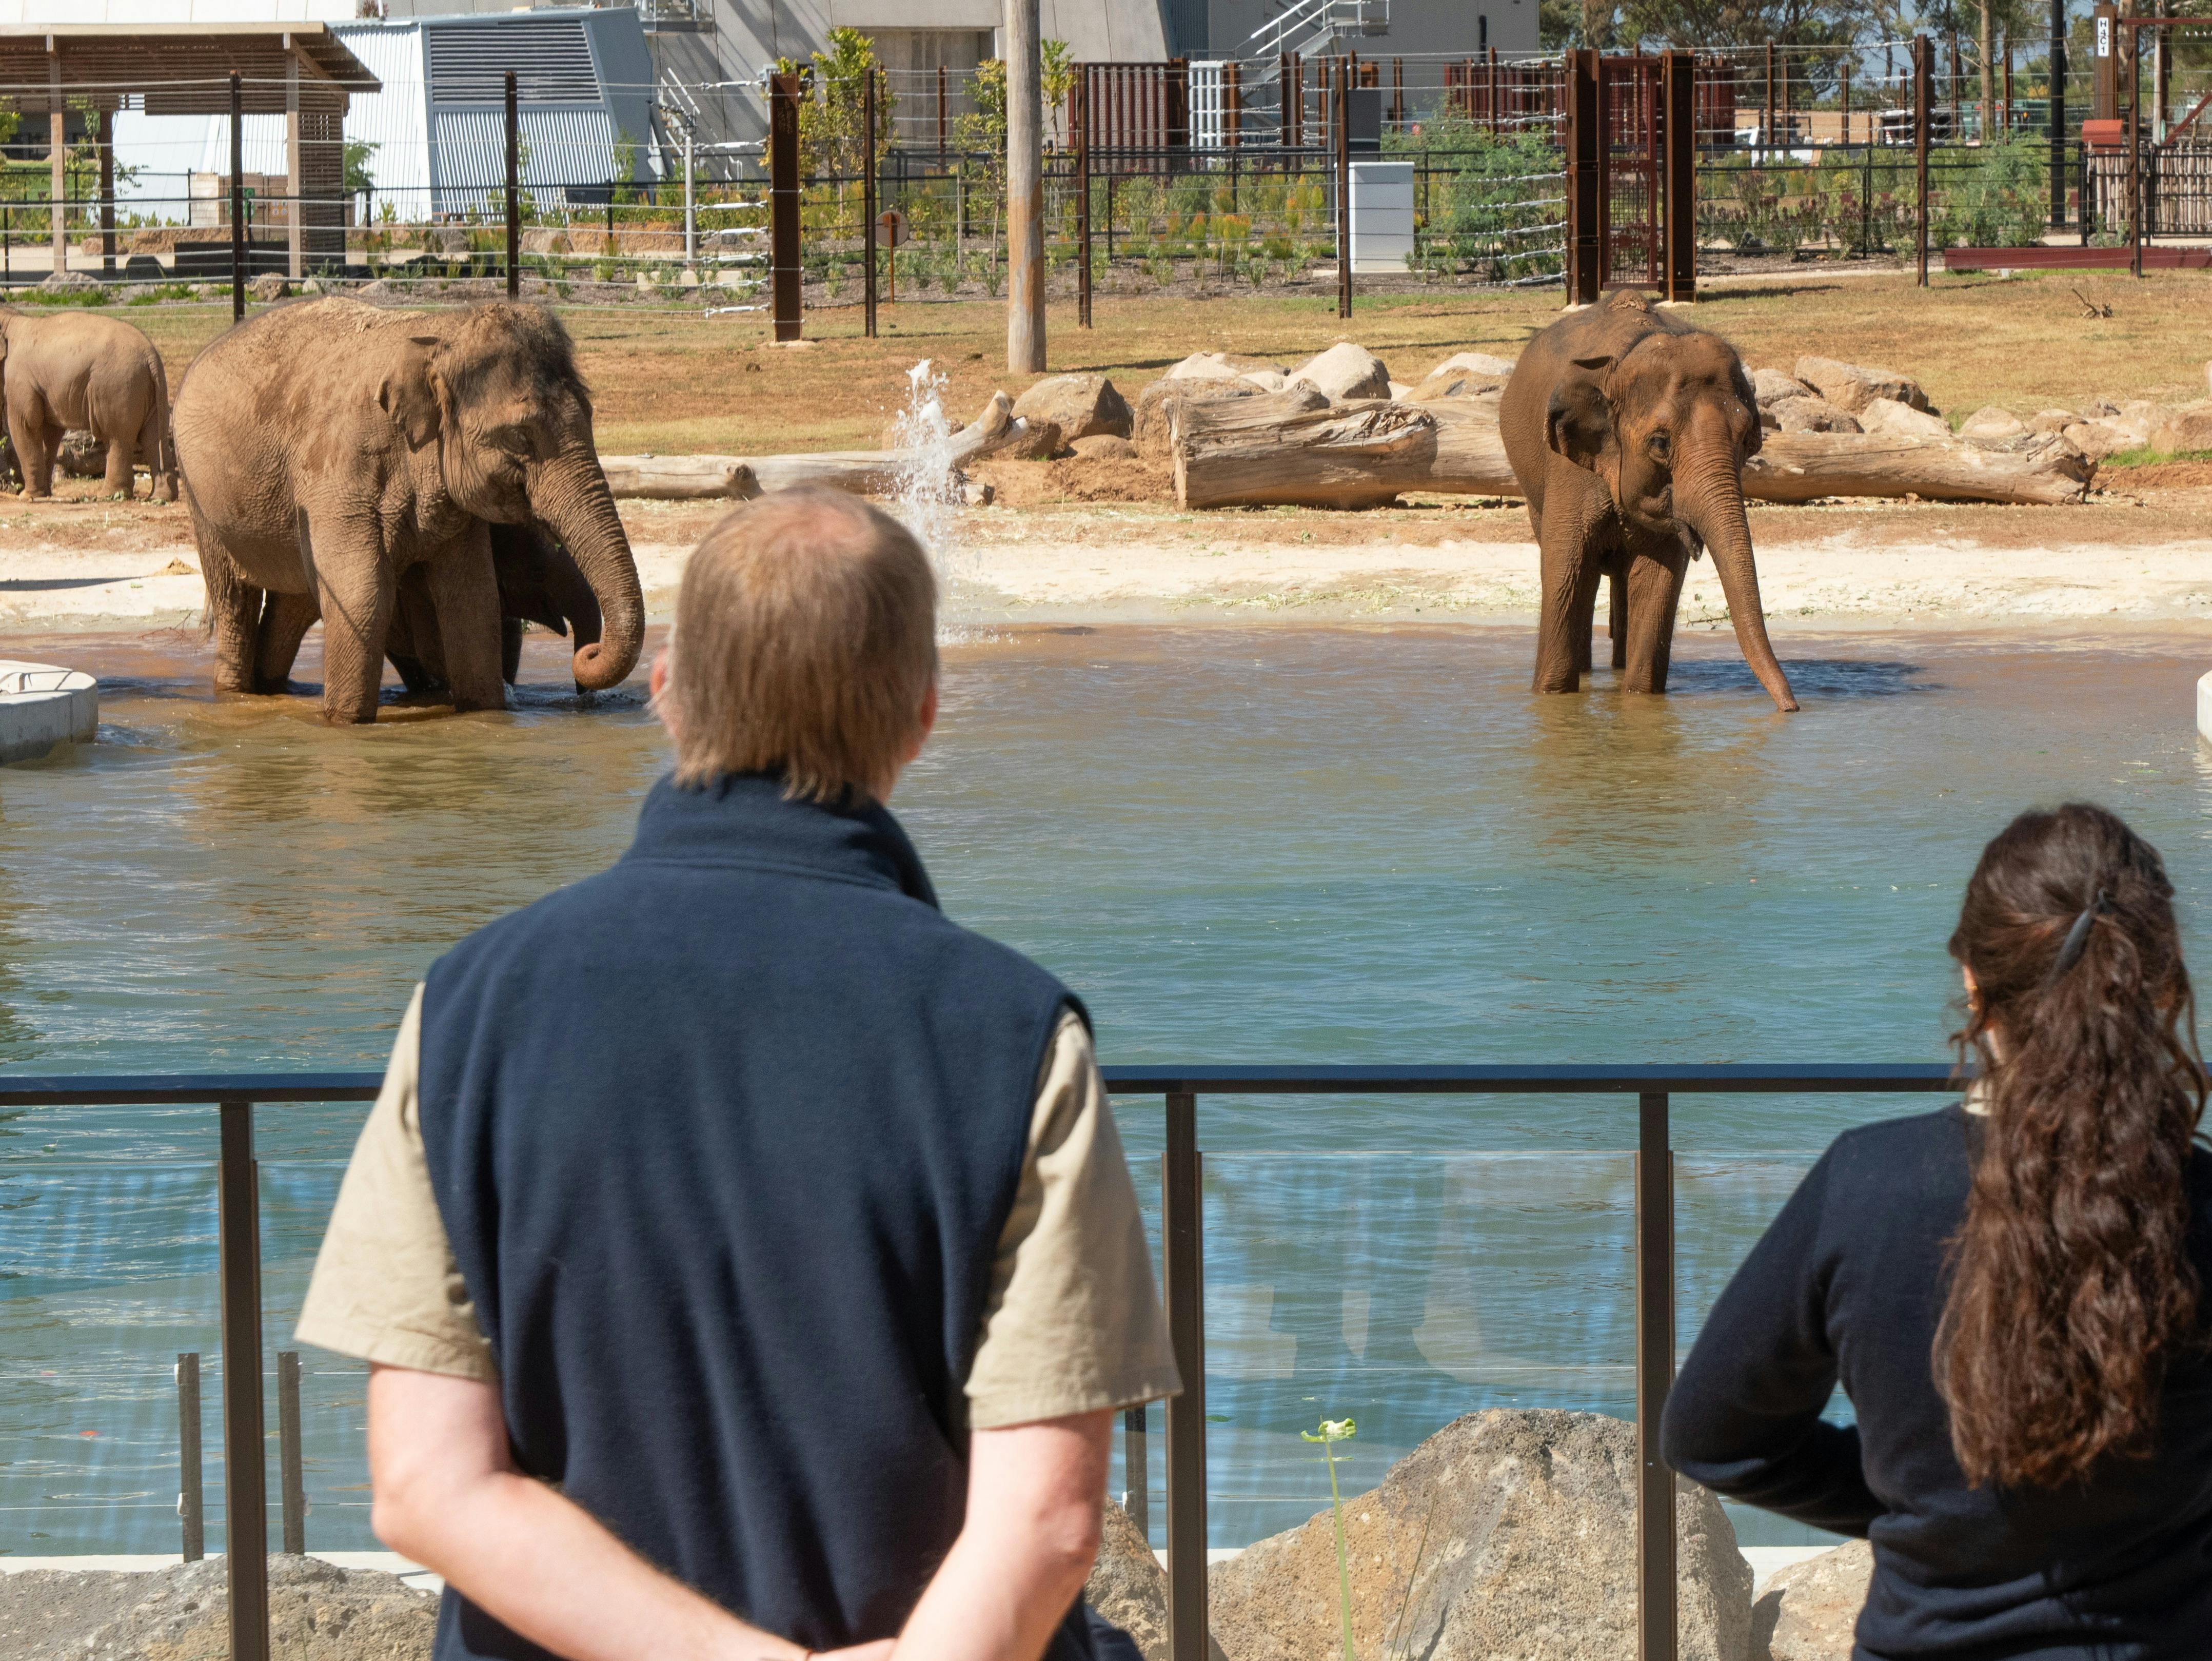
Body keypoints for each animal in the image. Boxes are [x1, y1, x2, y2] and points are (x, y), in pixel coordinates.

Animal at [0, 307, 176, 501]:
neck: (12, 319)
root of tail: (151, 356)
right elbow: (50, 432)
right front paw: (44, 494)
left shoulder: (20, 380)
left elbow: (26, 425)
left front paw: (28, 496)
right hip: (149, 390)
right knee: (153, 436)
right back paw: (160, 497)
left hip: (117, 388)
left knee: (116, 437)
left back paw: (110, 495)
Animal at [171, 297, 643, 724]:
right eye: (518, 436)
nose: (587, 658)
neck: (440, 336)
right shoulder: (340, 474)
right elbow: (362, 596)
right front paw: (346, 723)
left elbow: (474, 603)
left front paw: (484, 714)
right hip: (202, 499)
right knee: (235, 601)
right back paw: (235, 693)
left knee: (292, 603)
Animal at [1500, 288, 1797, 712]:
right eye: (1659, 443)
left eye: (1747, 439)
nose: (1792, 708)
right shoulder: (1569, 474)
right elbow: (1565, 569)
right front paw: (1553, 697)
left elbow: (1657, 582)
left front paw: (1640, 703)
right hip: (1534, 493)